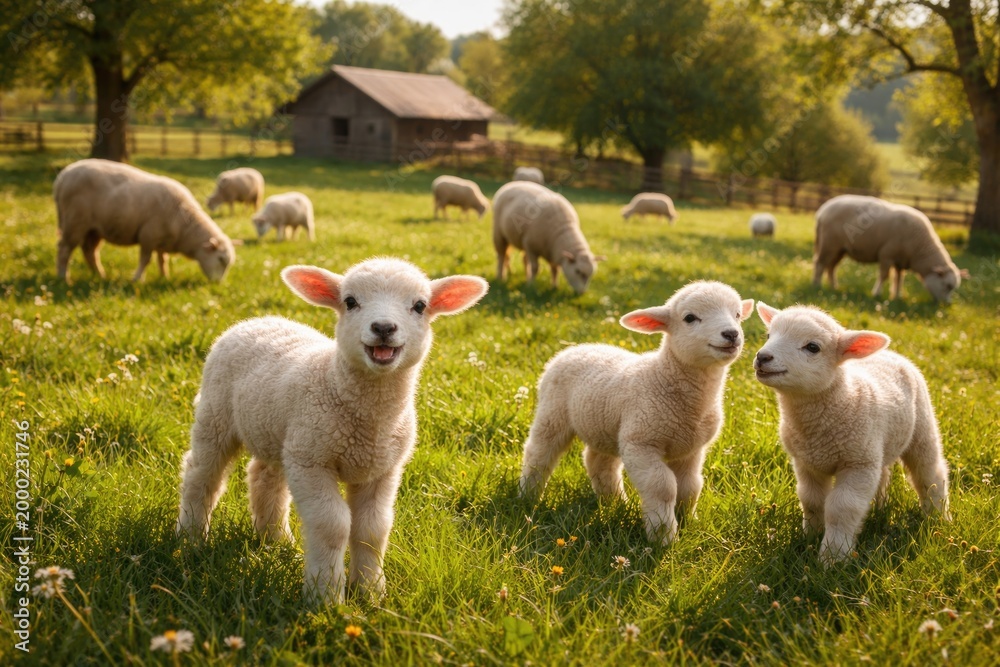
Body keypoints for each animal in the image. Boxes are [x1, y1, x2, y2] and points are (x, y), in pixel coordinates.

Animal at [53, 158, 235, 283]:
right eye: (221, 259)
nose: (218, 284)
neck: (185, 226)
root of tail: (62, 177)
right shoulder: (149, 236)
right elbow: (146, 260)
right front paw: (137, 279)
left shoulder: (163, 240)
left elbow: (162, 260)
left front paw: (164, 277)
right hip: (74, 223)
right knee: (64, 250)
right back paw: (64, 278)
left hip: (93, 229)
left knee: (90, 251)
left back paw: (99, 275)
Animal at [175, 258, 488, 604]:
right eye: (350, 301)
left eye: (419, 306)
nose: (383, 328)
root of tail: (255, 320)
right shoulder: (312, 462)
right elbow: (332, 525)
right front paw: (325, 597)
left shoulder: (382, 469)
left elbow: (372, 529)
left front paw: (370, 592)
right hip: (216, 417)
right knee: (202, 475)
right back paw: (190, 538)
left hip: (279, 433)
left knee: (264, 477)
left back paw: (276, 540)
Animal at [519, 282, 755, 545]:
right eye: (690, 318)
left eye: (737, 314)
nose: (731, 334)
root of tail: (576, 348)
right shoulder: (641, 443)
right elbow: (663, 486)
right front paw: (663, 536)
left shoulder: (692, 450)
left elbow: (691, 486)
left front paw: (687, 521)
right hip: (553, 413)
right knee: (539, 452)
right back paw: (528, 495)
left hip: (605, 426)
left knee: (599, 462)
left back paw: (614, 502)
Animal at [753, 302, 950, 565]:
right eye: (768, 335)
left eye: (813, 347)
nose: (762, 357)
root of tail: (891, 353)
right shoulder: (807, 462)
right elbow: (811, 500)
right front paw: (811, 535)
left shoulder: (857, 464)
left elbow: (842, 507)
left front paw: (833, 557)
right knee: (884, 474)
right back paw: (878, 507)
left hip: (922, 428)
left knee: (929, 474)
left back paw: (938, 516)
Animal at [813, 195, 968, 302]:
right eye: (947, 285)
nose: (947, 304)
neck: (919, 249)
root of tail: (822, 210)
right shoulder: (886, 254)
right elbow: (884, 275)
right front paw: (877, 293)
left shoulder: (900, 261)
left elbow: (899, 279)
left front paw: (897, 296)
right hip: (829, 244)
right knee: (820, 263)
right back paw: (817, 285)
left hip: (839, 249)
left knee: (831, 267)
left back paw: (833, 287)